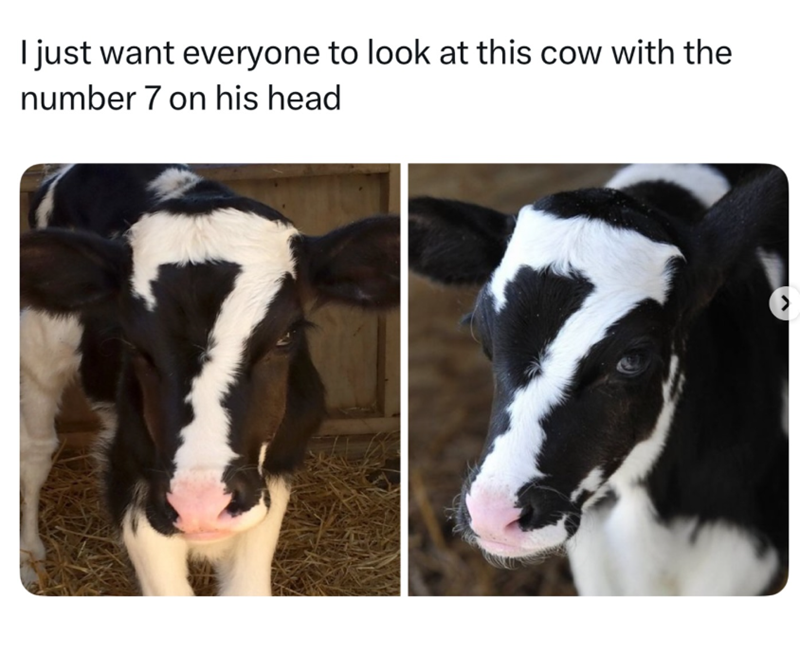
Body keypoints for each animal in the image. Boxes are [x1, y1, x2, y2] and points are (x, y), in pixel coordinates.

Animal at [20, 164, 400, 595]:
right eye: (132, 342)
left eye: (286, 335)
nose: (198, 505)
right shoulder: (132, 482)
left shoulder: (272, 477)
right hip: (41, 344)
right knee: (36, 449)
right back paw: (30, 558)